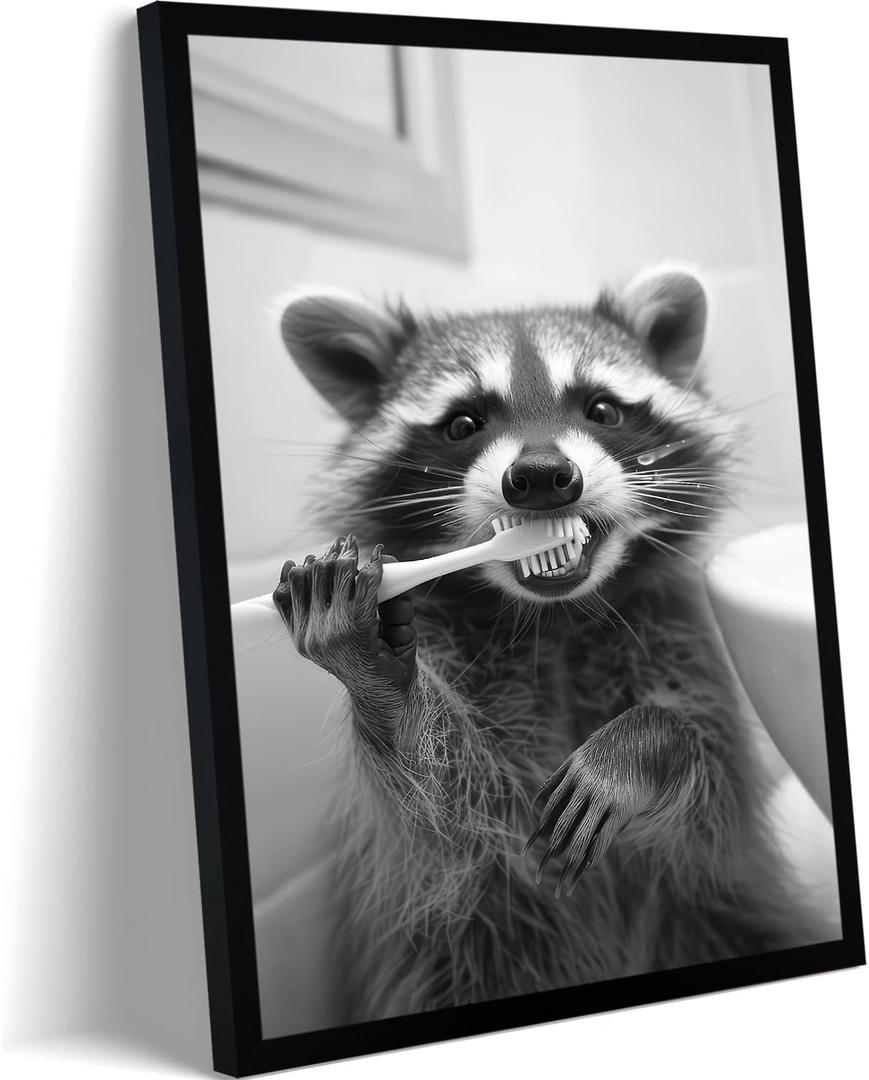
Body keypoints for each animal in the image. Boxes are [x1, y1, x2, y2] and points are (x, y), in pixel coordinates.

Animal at [273, 267, 827, 1023]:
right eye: (463, 423)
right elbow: (451, 815)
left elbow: (708, 806)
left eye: (602, 409)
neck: (552, 618)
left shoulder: (679, 639)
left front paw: (646, 743)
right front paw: (381, 680)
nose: (539, 476)